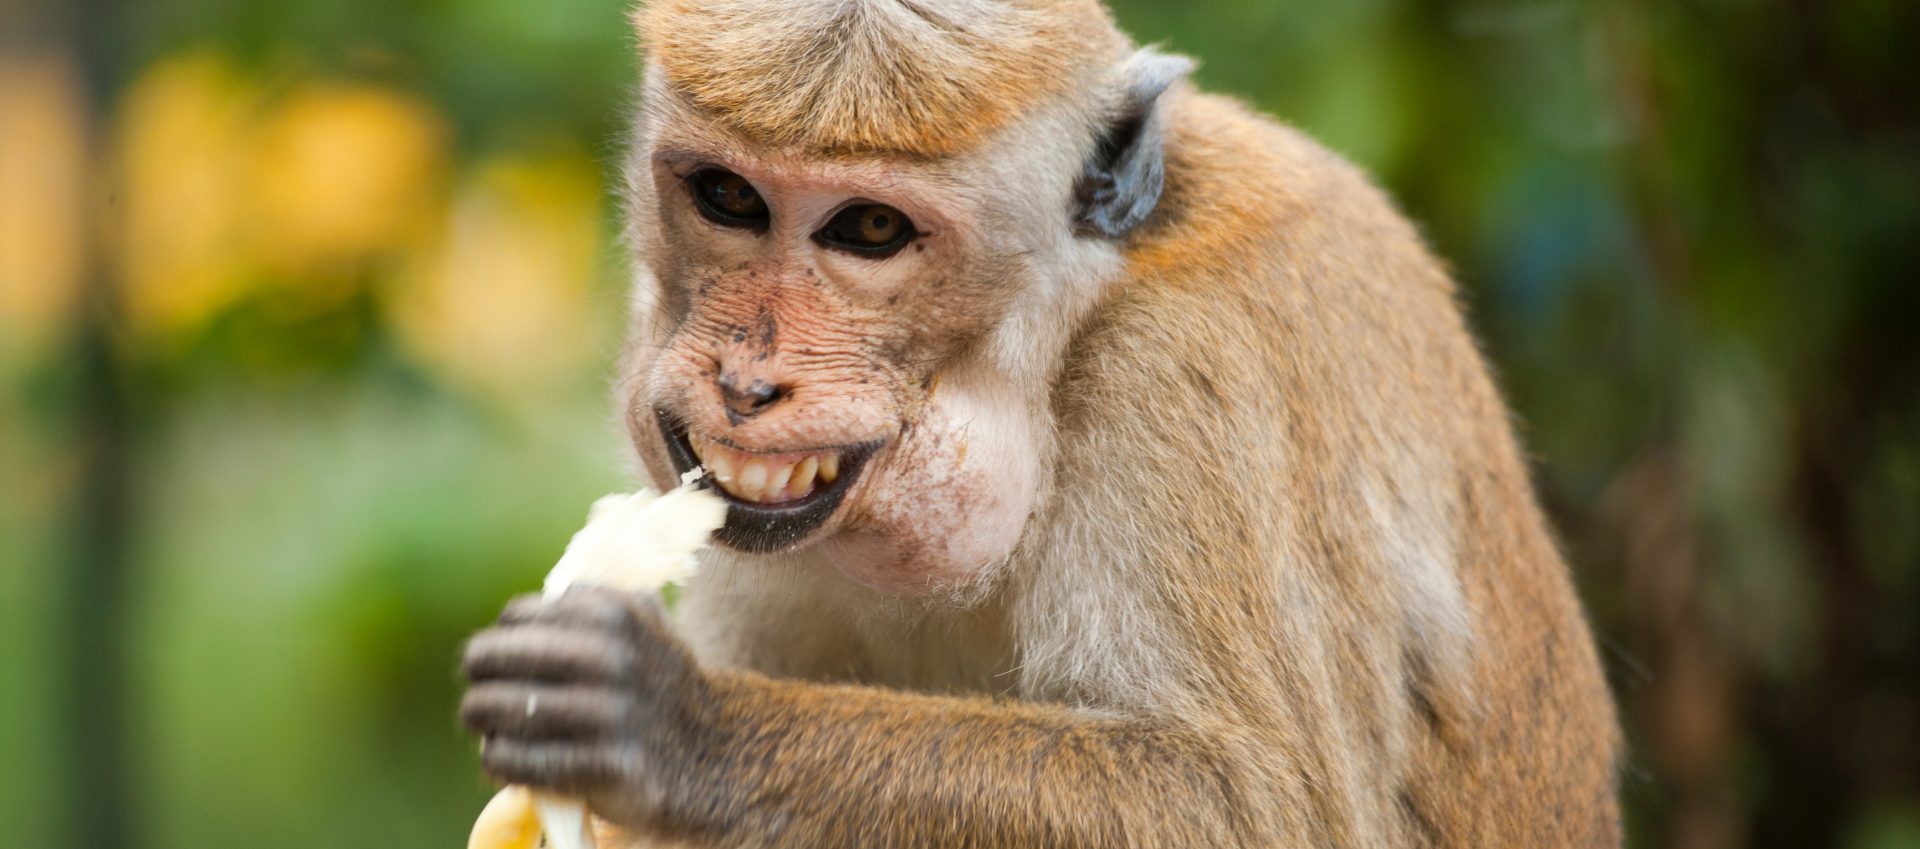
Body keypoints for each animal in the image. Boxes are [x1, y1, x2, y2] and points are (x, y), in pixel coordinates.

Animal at [460, 1, 1620, 841]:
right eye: (729, 198)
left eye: (868, 228)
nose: (746, 384)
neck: (1065, 329)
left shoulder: (1183, 379)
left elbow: (1255, 805)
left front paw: (680, 727)